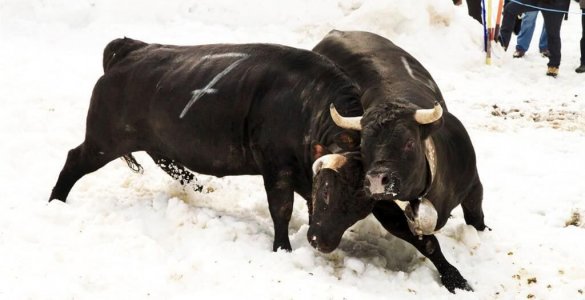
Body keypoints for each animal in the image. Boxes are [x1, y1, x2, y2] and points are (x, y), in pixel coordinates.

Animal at [50, 37, 362, 253]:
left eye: (362, 206)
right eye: (328, 189)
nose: (320, 242)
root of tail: (133, 49)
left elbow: (307, 205)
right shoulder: (277, 167)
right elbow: (281, 209)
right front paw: (282, 249)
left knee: (168, 163)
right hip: (104, 140)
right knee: (74, 160)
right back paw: (55, 202)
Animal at [308, 31, 486, 292]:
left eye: (409, 142)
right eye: (363, 144)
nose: (376, 180)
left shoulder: (473, 185)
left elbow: (476, 218)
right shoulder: (385, 209)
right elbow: (427, 243)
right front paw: (454, 278)